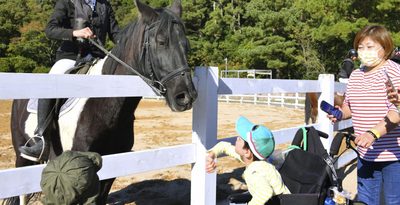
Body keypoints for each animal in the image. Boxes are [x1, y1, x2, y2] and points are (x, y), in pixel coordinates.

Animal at [7, 0, 197, 203]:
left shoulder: (111, 168)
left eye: (186, 45)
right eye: (161, 42)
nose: (186, 96)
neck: (103, 104)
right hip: (21, 155)